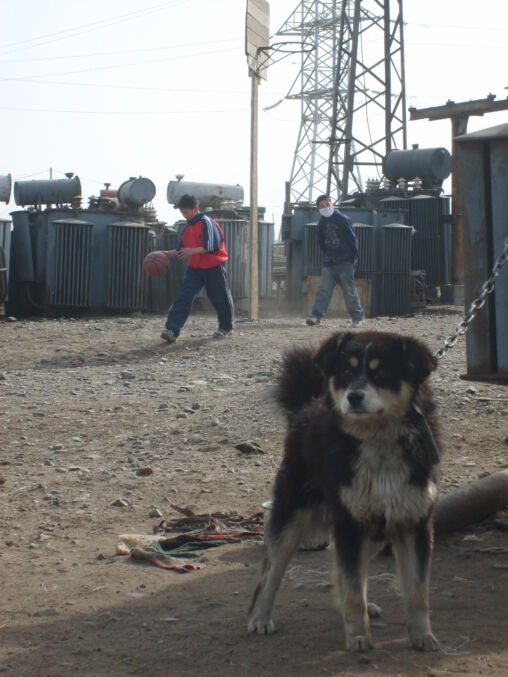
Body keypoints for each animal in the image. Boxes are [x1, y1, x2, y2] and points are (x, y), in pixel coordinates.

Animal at [248, 332, 442, 648]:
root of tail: (306, 407)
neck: (379, 442)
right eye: (347, 373)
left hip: (372, 530)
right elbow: (352, 591)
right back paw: (259, 617)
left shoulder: (414, 524)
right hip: (293, 519)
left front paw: (423, 635)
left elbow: (417, 593)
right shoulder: (350, 525)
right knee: (269, 573)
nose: (353, 397)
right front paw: (359, 636)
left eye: (381, 372)